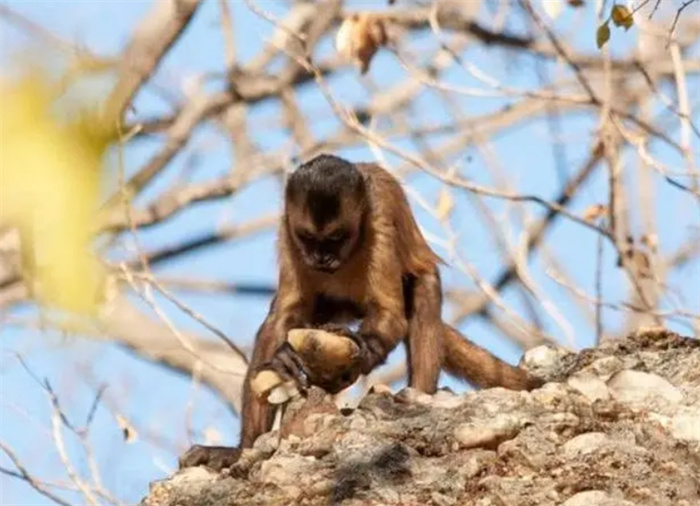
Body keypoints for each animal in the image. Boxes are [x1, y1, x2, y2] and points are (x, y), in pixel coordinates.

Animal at [178, 154, 540, 470]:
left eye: (336, 238)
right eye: (308, 238)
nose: (322, 258)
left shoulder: (379, 221)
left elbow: (391, 313)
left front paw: (363, 350)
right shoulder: (286, 228)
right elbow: (284, 316)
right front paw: (283, 359)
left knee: (423, 290)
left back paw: (418, 395)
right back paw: (243, 449)